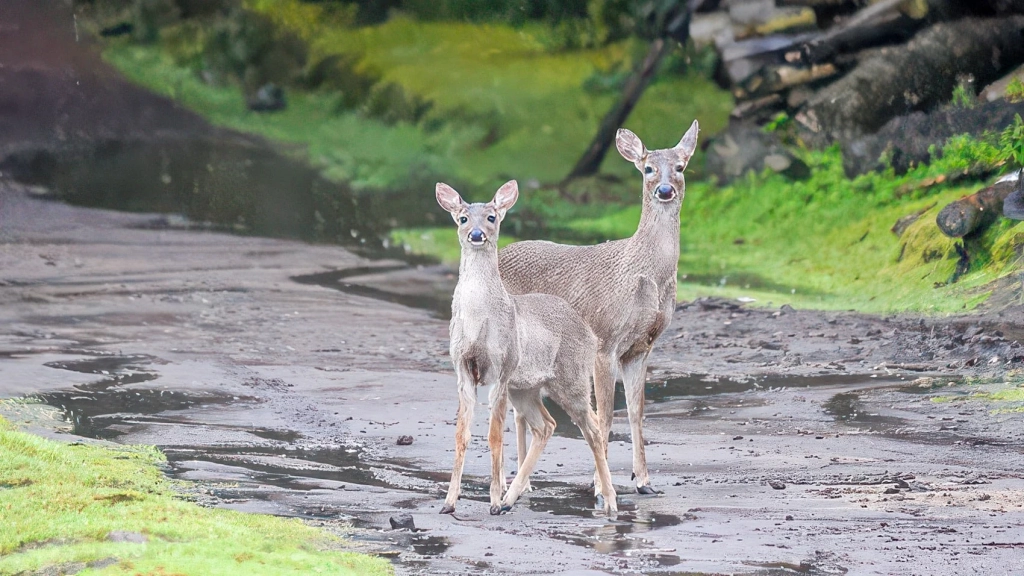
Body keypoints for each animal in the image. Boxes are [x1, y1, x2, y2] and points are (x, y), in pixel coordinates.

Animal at [436, 180, 617, 516]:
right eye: (463, 218)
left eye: (492, 217)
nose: (476, 235)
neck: (479, 319)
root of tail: (589, 332)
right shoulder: (463, 367)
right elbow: (461, 434)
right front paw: (449, 502)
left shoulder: (502, 367)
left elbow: (494, 435)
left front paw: (493, 500)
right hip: (527, 388)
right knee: (546, 425)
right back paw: (513, 497)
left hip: (571, 378)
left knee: (593, 427)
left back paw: (609, 500)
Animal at [499, 120, 699, 495]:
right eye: (648, 168)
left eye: (680, 167)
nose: (665, 190)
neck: (643, 272)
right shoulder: (604, 341)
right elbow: (604, 415)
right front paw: (599, 485)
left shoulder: (641, 347)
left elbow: (635, 411)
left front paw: (644, 481)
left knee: (519, 409)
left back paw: (524, 482)